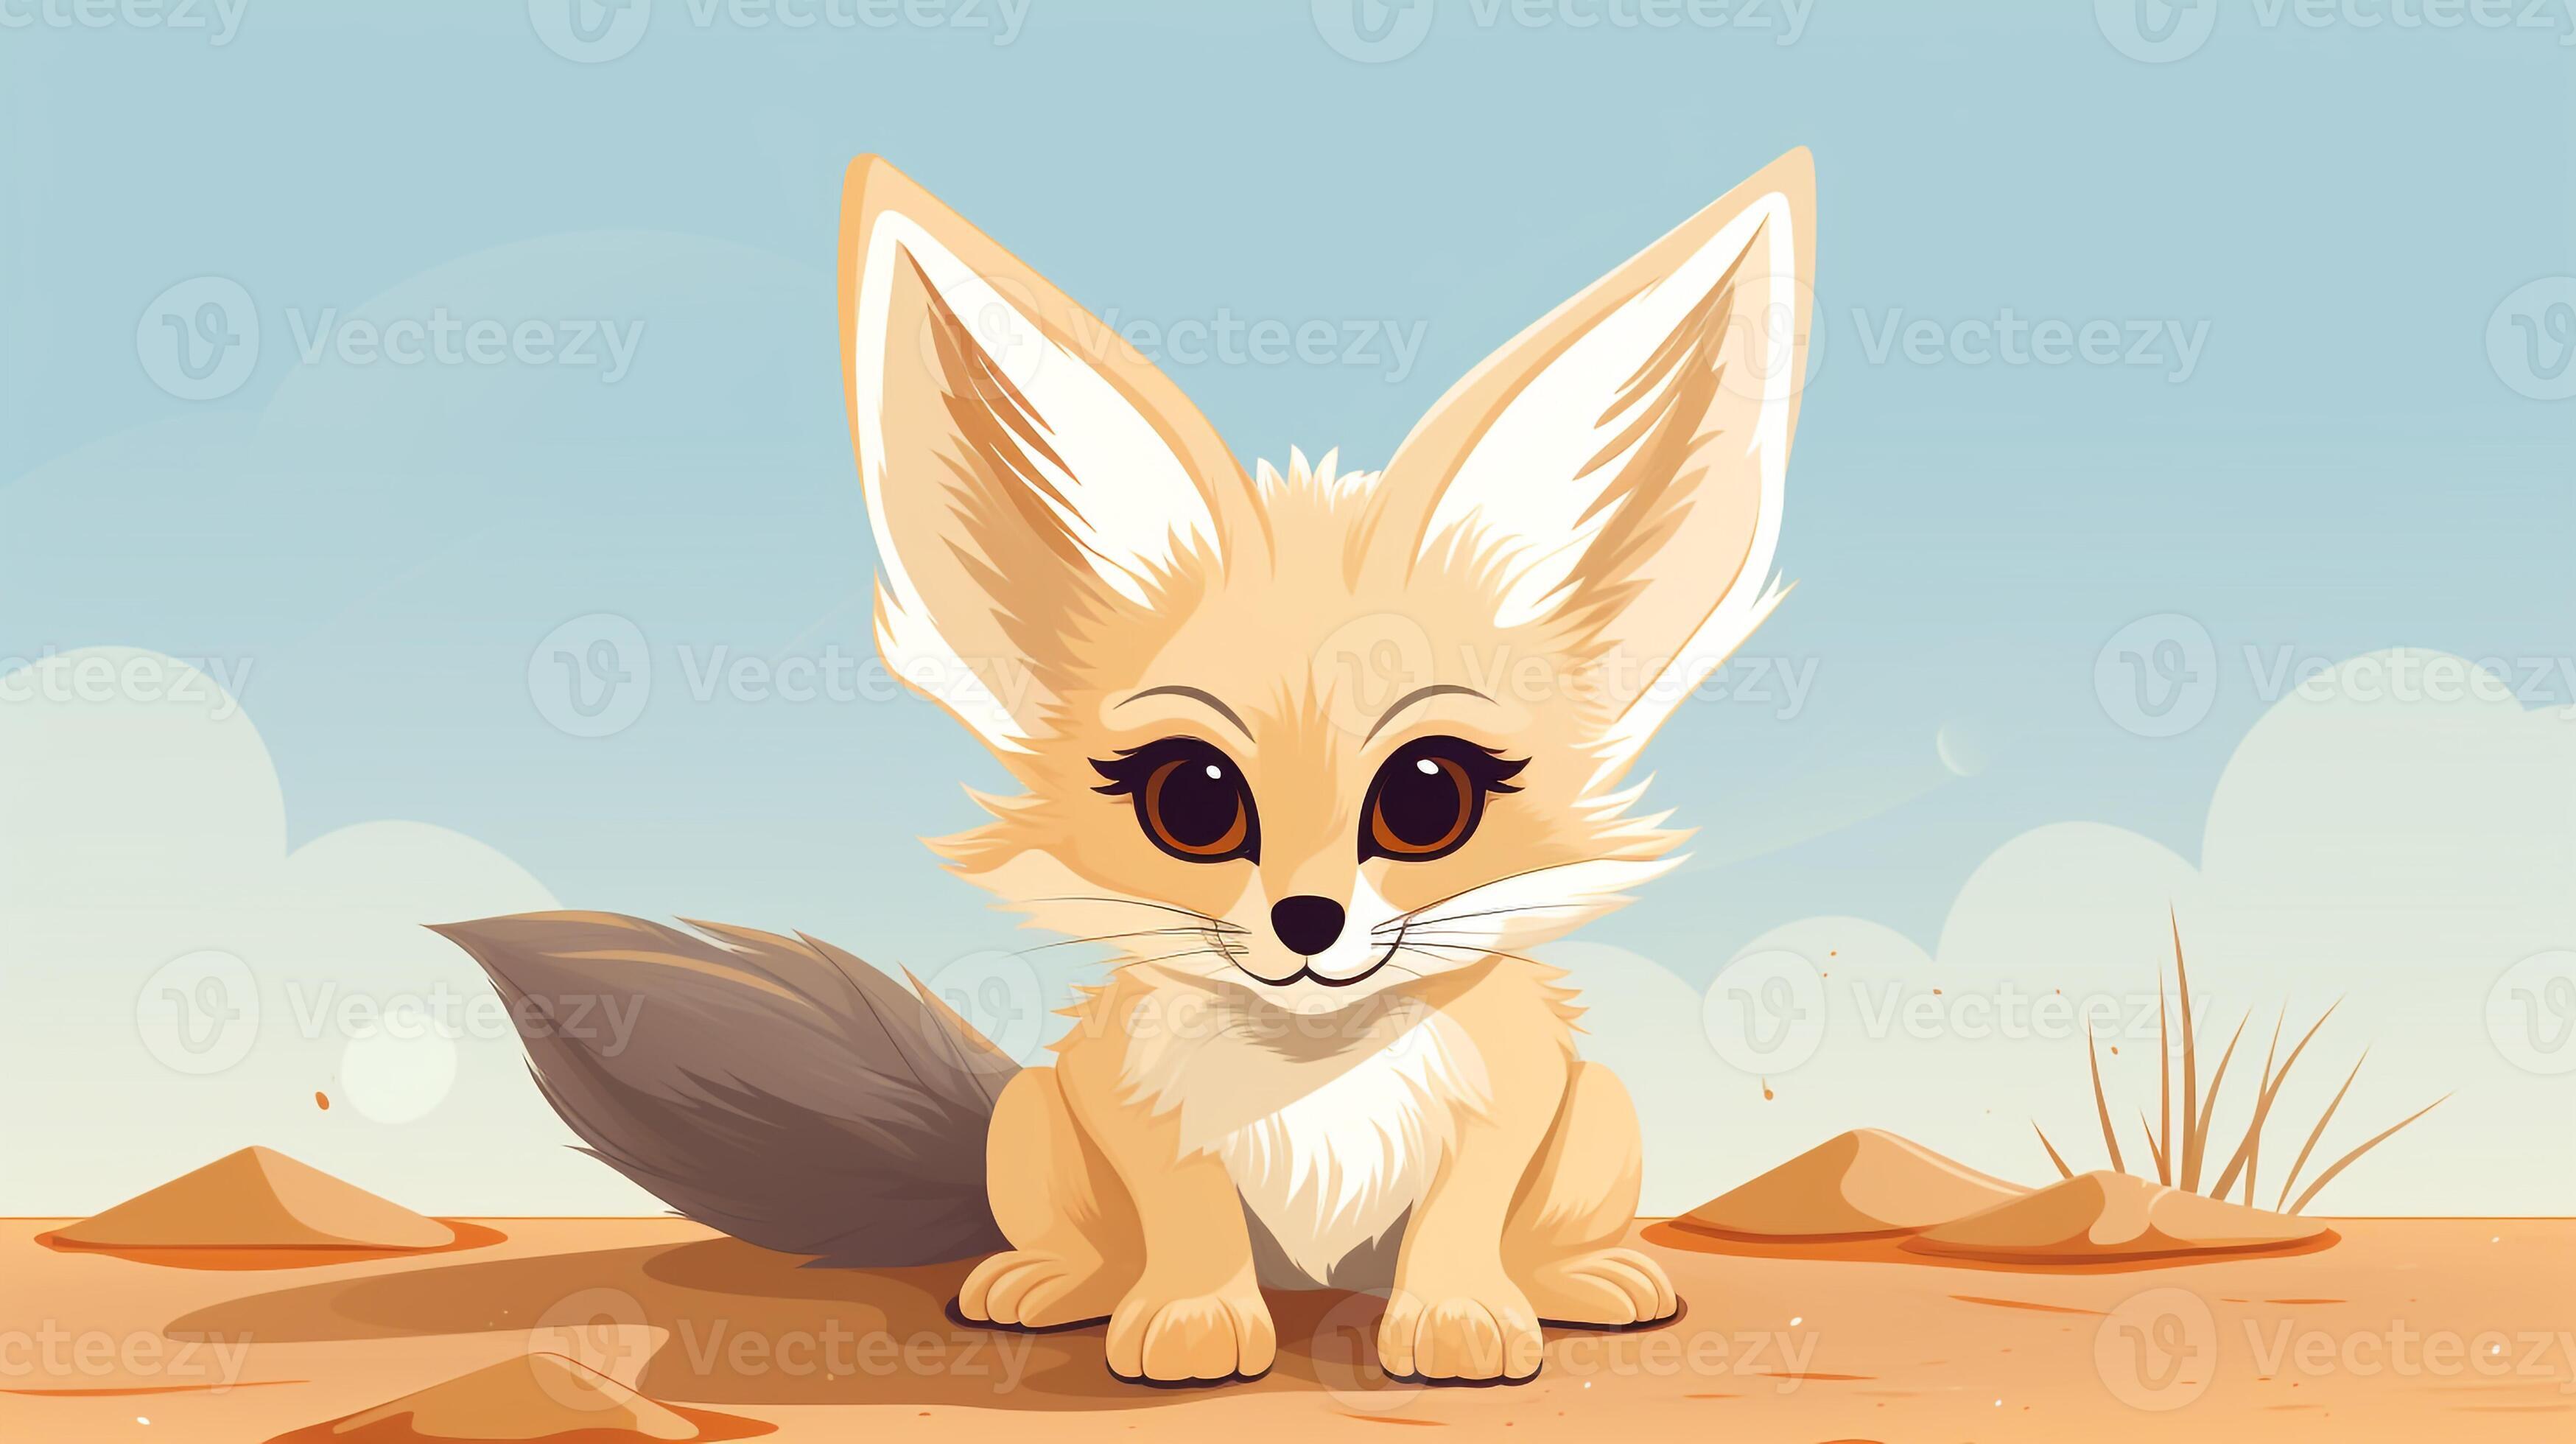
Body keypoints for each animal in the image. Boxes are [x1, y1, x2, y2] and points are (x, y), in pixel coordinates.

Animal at [438, 148, 1813, 1387]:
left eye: (1429, 797)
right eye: (1190, 801)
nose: (1307, 921)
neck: (1311, 1075)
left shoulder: (1510, 1108)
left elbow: (1461, 1226)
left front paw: (1461, 1326)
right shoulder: (1129, 1111)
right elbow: (1188, 1223)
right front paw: (1195, 1327)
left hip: (1604, 1115)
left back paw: (1586, 1279)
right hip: (1029, 1119)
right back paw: (1050, 1285)